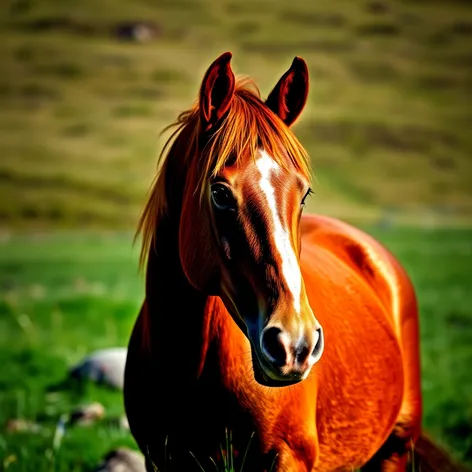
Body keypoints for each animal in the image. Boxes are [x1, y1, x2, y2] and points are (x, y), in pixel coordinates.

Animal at [124, 51, 458, 472]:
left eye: (304, 193)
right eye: (219, 193)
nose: (295, 343)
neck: (188, 367)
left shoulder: (288, 458)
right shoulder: (158, 459)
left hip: (394, 450)